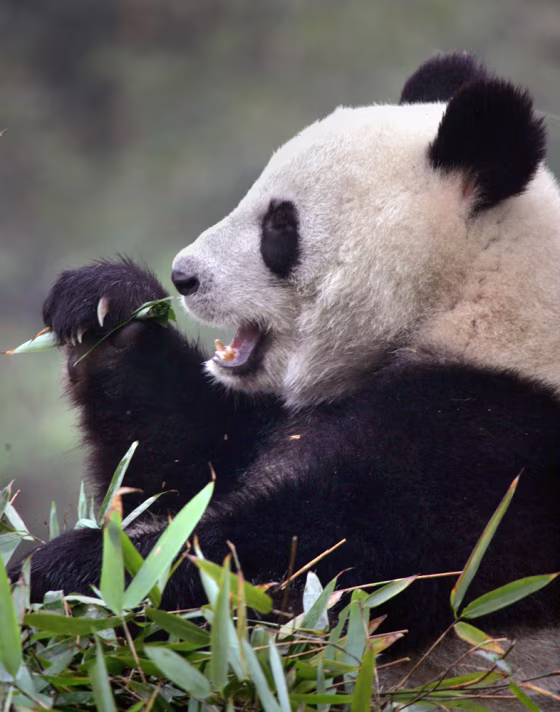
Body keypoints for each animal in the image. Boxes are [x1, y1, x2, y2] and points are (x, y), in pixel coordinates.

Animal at [15, 53, 560, 695]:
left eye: (280, 224)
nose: (183, 276)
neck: (469, 294)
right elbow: (172, 474)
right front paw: (107, 307)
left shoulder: (499, 455)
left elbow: (309, 569)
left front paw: (69, 568)